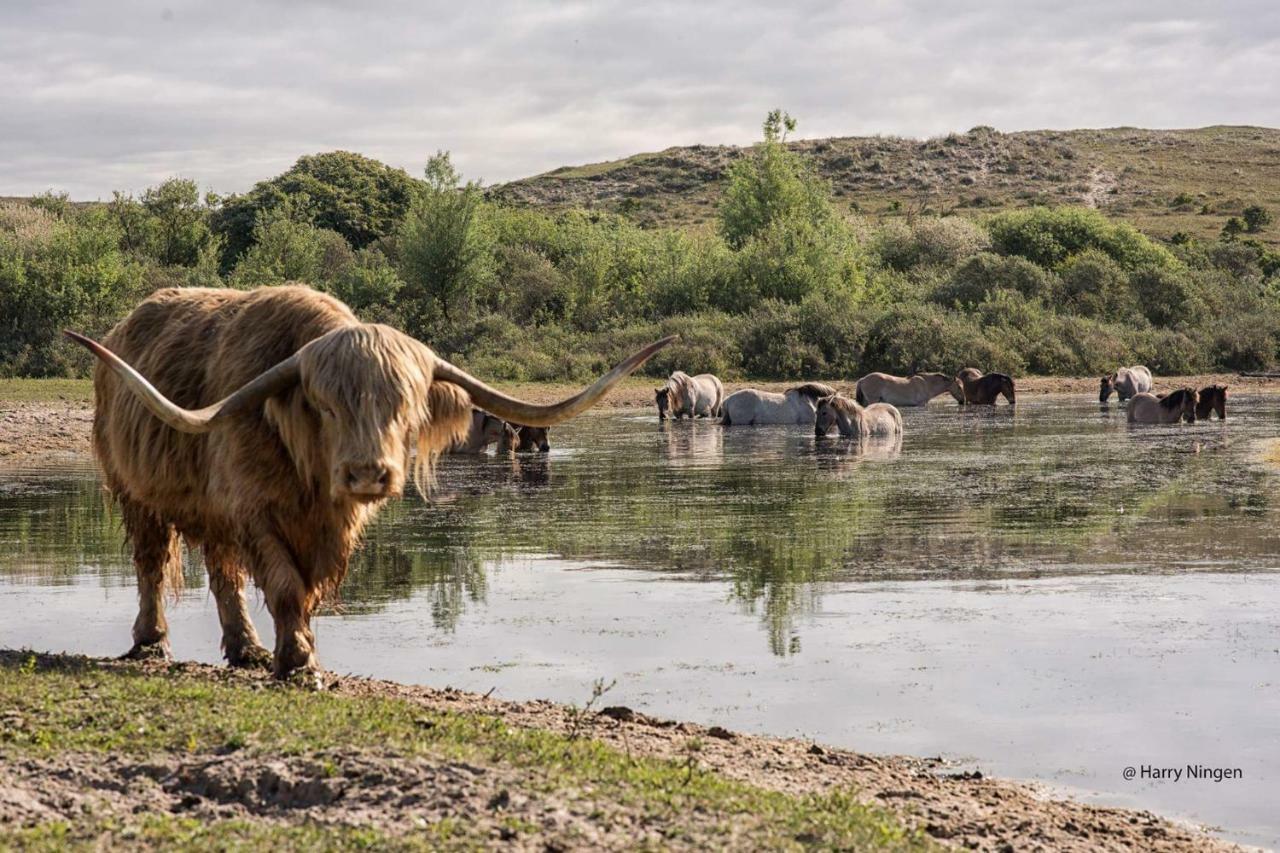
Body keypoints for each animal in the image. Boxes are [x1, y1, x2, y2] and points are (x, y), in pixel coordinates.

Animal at [70, 285, 675, 676]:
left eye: (403, 406)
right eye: (326, 406)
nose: (368, 472)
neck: (312, 478)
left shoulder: (303, 522)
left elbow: (301, 588)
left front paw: (293, 649)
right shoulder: (254, 507)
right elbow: (285, 585)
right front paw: (299, 661)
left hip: (213, 513)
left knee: (223, 575)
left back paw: (246, 648)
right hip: (136, 492)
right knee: (151, 565)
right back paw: (152, 642)